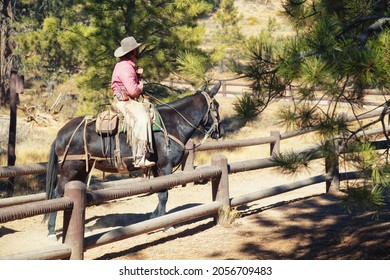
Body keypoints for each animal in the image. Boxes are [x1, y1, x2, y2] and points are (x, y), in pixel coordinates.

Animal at [45, 82, 222, 237]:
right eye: (216, 106)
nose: (219, 132)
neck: (172, 124)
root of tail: (60, 134)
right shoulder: (165, 167)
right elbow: (164, 194)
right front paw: (166, 225)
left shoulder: (157, 168)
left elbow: (160, 191)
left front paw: (154, 217)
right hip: (69, 169)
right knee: (57, 194)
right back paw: (52, 231)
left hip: (82, 170)